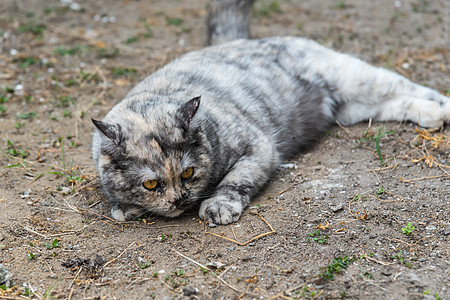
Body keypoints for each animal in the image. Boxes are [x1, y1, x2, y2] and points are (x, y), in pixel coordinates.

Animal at [92, 0, 450, 224]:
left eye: (188, 173)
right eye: (151, 184)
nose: (179, 200)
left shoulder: (259, 148)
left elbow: (237, 179)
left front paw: (219, 205)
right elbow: (118, 205)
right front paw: (127, 208)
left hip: (357, 78)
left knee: (411, 87)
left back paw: (442, 109)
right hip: (352, 107)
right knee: (396, 103)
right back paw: (431, 116)